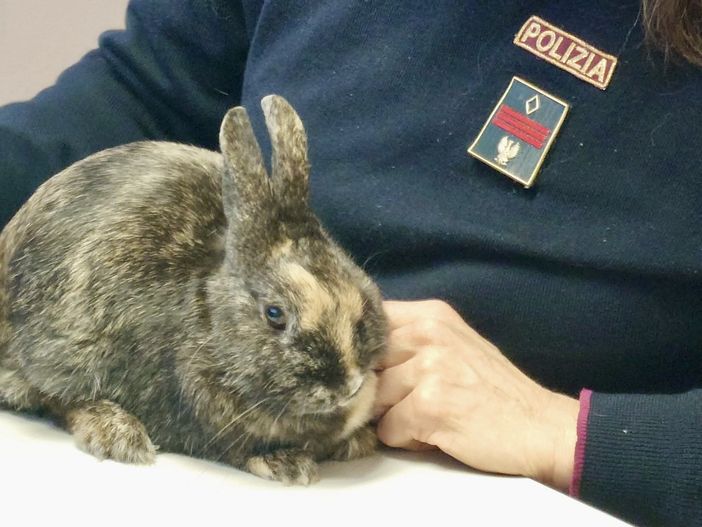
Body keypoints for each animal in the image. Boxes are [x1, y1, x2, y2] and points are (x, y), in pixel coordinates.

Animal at [0, 95, 388, 485]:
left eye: (359, 293)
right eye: (275, 314)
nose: (347, 386)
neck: (209, 317)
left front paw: (358, 441)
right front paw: (288, 465)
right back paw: (119, 435)